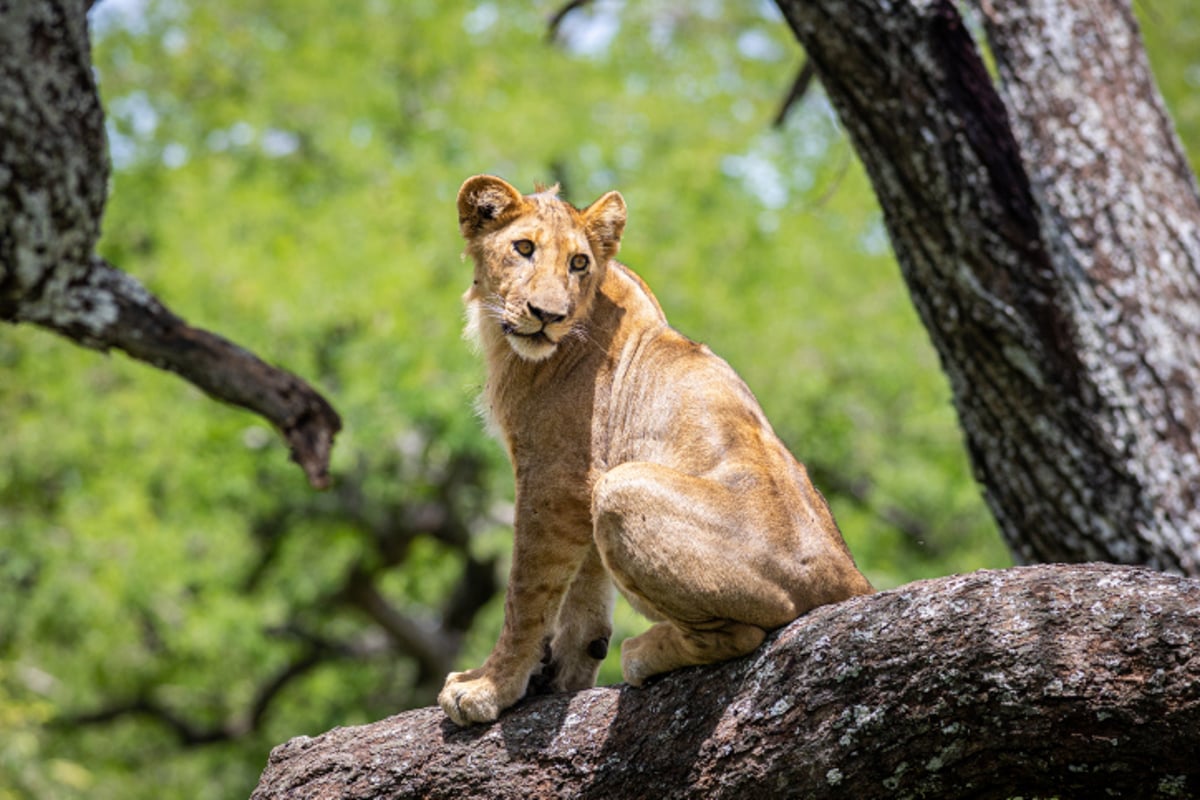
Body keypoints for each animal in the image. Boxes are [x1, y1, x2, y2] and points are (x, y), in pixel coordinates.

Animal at [441, 175, 873, 724]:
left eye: (577, 263)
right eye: (523, 249)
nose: (547, 316)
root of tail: (851, 583)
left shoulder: (555, 478)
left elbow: (527, 593)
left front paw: (488, 687)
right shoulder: (582, 482)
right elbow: (584, 594)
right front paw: (561, 677)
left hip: (622, 489)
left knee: (742, 634)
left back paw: (642, 653)